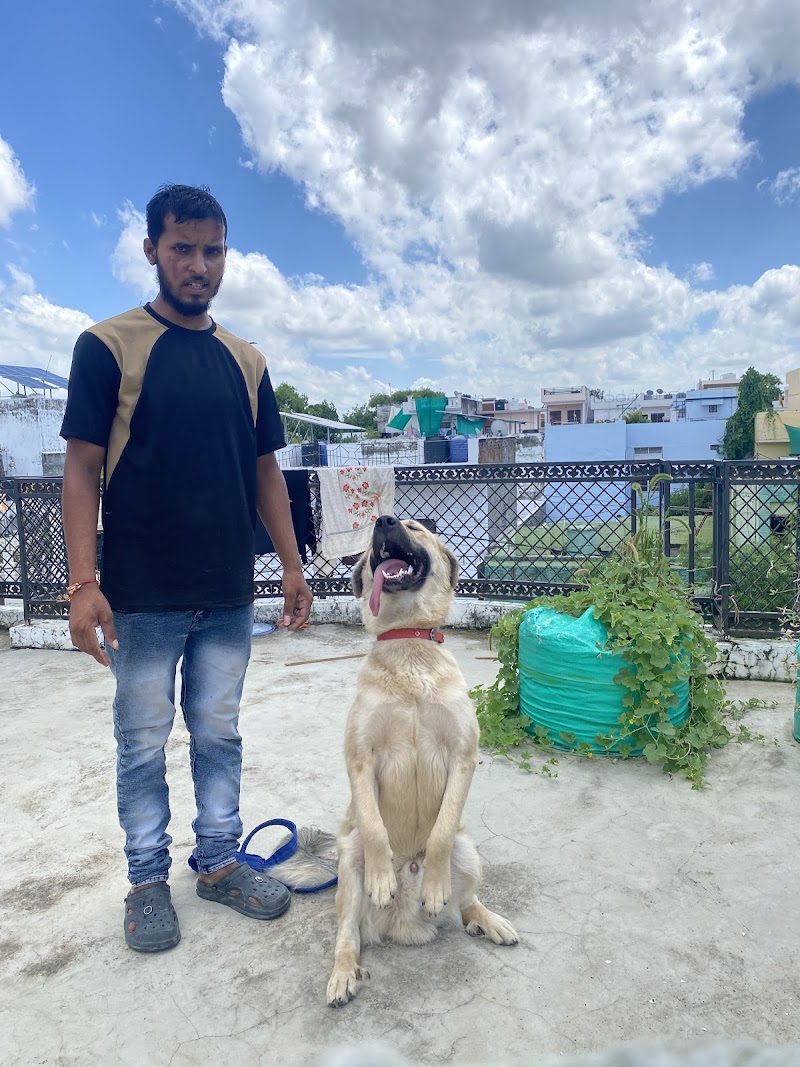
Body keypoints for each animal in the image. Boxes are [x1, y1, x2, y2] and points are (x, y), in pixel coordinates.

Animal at [326, 515, 518, 1007]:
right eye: (371, 541)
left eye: (415, 526)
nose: (383, 520)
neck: (408, 643)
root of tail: (404, 924)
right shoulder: (360, 759)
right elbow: (376, 829)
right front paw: (382, 880)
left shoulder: (463, 757)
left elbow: (440, 835)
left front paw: (434, 884)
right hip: (347, 860)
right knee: (348, 934)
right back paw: (344, 971)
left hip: (469, 853)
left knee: (464, 902)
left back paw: (486, 919)